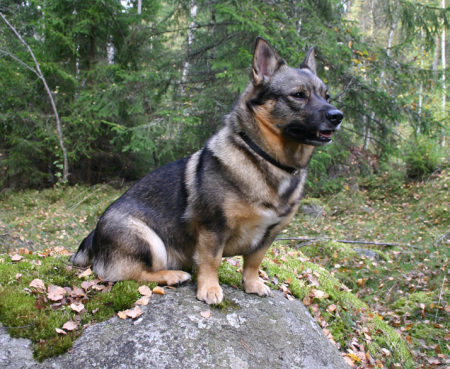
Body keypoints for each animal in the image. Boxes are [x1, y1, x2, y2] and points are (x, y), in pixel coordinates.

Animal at [71, 36, 344, 304]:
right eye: (298, 95)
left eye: (327, 96)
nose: (337, 116)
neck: (265, 159)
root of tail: (92, 237)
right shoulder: (213, 227)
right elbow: (211, 260)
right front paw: (210, 289)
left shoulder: (268, 235)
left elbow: (254, 262)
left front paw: (252, 284)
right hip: (147, 239)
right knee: (128, 274)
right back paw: (172, 275)